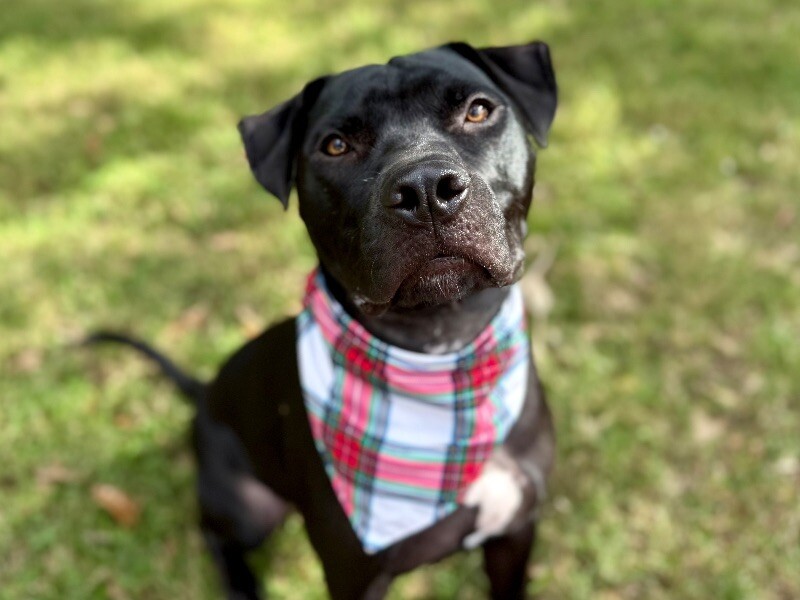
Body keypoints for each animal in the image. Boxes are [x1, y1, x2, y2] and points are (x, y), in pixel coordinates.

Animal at [92, 39, 556, 596]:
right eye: (335, 145)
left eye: (479, 111)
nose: (425, 188)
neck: (444, 349)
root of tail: (205, 394)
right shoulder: (353, 573)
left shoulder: (516, 531)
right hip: (248, 507)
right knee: (211, 534)